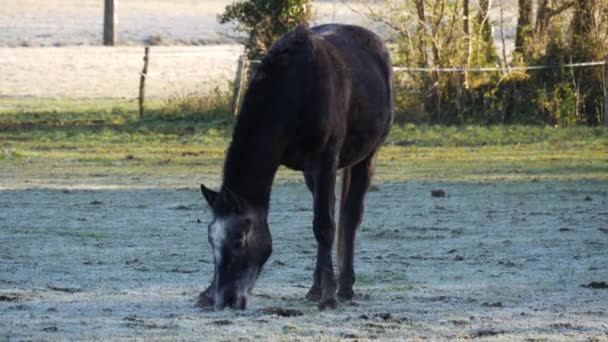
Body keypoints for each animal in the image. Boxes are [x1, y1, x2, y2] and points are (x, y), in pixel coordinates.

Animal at [196, 22, 394, 308]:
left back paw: (344, 287)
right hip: (313, 174)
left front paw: (330, 296)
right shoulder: (313, 169)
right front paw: (208, 292)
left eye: (239, 241)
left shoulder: (326, 161)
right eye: (212, 240)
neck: (295, 89)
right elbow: (321, 223)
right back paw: (315, 287)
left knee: (348, 217)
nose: (227, 300)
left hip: (366, 157)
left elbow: (324, 227)